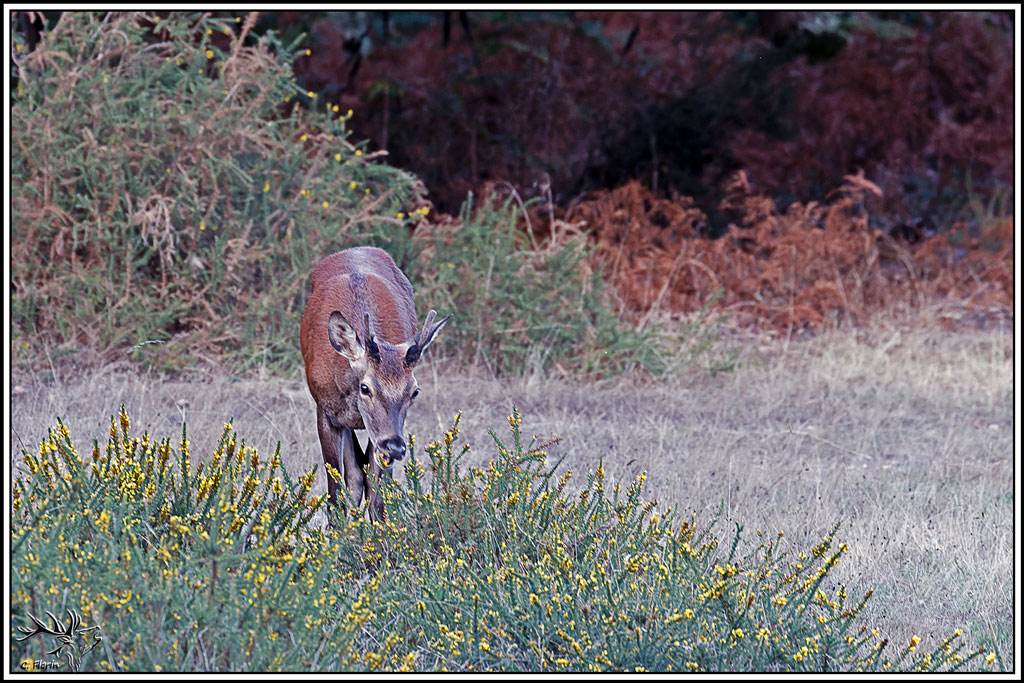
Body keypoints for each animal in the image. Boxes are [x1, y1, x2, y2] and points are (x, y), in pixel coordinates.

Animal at [300, 246, 451, 522]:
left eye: (414, 391)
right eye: (365, 387)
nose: (395, 447)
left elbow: (377, 495)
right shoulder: (324, 410)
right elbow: (335, 494)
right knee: (354, 474)